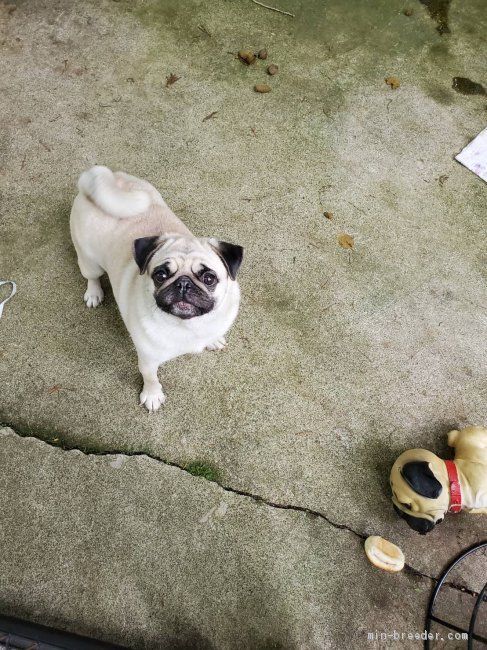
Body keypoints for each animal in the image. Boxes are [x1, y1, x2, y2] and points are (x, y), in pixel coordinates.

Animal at [69, 167, 243, 410]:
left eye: (209, 278)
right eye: (160, 275)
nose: (183, 283)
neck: (188, 326)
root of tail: (100, 181)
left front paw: (213, 339)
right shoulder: (148, 359)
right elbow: (150, 377)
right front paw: (152, 395)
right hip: (88, 260)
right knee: (91, 277)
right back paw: (94, 293)